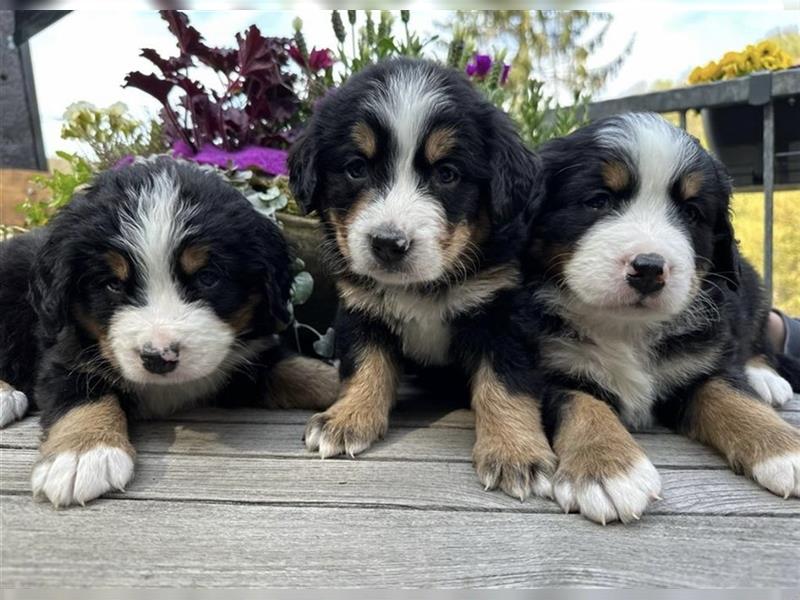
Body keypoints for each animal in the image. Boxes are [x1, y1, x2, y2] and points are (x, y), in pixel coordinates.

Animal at [0, 158, 338, 506]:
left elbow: (300, 369)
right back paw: (5, 395)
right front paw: (82, 454)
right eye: (112, 284)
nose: (158, 358)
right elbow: (79, 393)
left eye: (207, 277)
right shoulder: (66, 351)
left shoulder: (246, 362)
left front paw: (346, 398)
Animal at [288, 59, 556, 502]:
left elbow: (506, 382)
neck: (420, 288)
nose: (388, 244)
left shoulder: (502, 309)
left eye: (447, 174)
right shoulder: (360, 307)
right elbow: (365, 365)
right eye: (356, 168)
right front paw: (347, 418)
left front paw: (516, 452)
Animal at [520, 113, 800, 524]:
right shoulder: (549, 369)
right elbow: (583, 405)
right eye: (598, 201)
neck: (625, 327)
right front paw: (607, 469)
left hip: (751, 286)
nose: (649, 268)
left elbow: (734, 397)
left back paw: (765, 378)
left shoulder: (701, 362)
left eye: (691, 213)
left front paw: (785, 449)